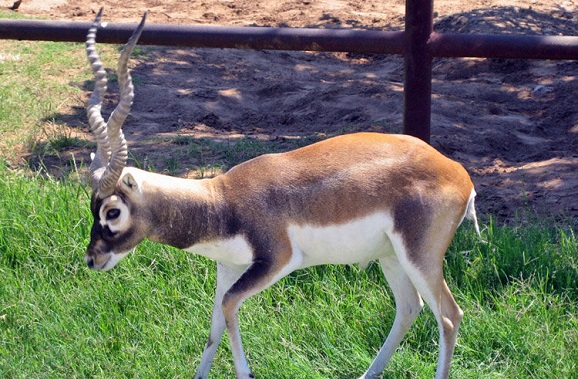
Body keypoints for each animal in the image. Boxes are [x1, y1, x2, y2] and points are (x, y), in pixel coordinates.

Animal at [85, 10, 480, 379]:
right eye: (92, 208)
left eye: (112, 211)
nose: (91, 260)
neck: (221, 202)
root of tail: (458, 172)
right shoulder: (228, 267)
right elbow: (213, 327)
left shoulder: (276, 261)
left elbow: (228, 307)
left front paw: (246, 372)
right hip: (391, 255)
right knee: (410, 308)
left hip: (419, 255)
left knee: (449, 316)